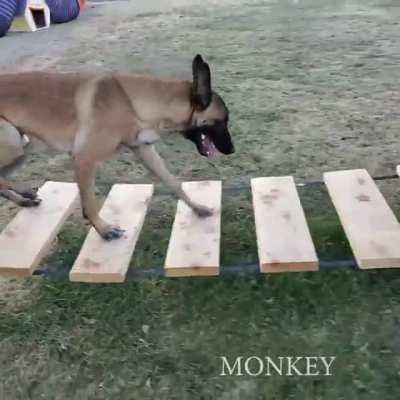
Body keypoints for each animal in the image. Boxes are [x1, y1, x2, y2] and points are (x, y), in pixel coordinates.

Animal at [0, 54, 234, 239]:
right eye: (222, 121)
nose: (231, 150)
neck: (130, 102)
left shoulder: (145, 150)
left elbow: (174, 183)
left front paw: (198, 208)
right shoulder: (84, 159)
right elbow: (89, 204)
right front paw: (104, 230)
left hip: (23, 148)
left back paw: (23, 199)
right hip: (13, 141)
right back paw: (24, 192)